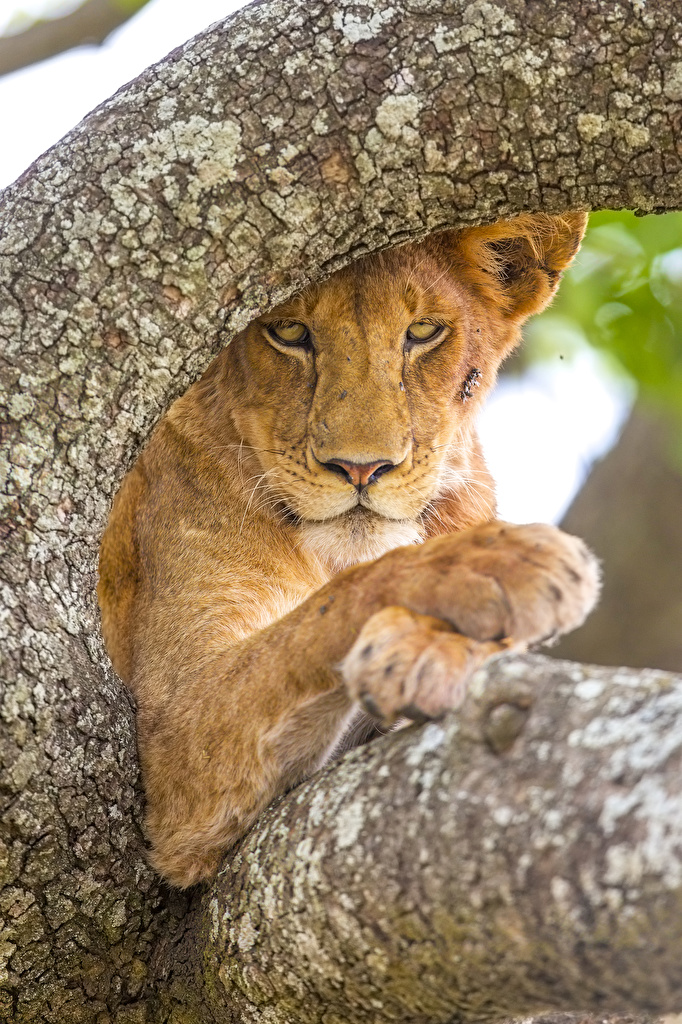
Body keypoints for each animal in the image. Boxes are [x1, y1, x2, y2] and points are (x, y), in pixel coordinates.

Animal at [98, 211, 599, 888]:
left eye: (423, 332)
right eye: (288, 331)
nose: (362, 468)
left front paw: (430, 649)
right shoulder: (175, 735)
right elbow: (328, 607)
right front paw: (499, 564)